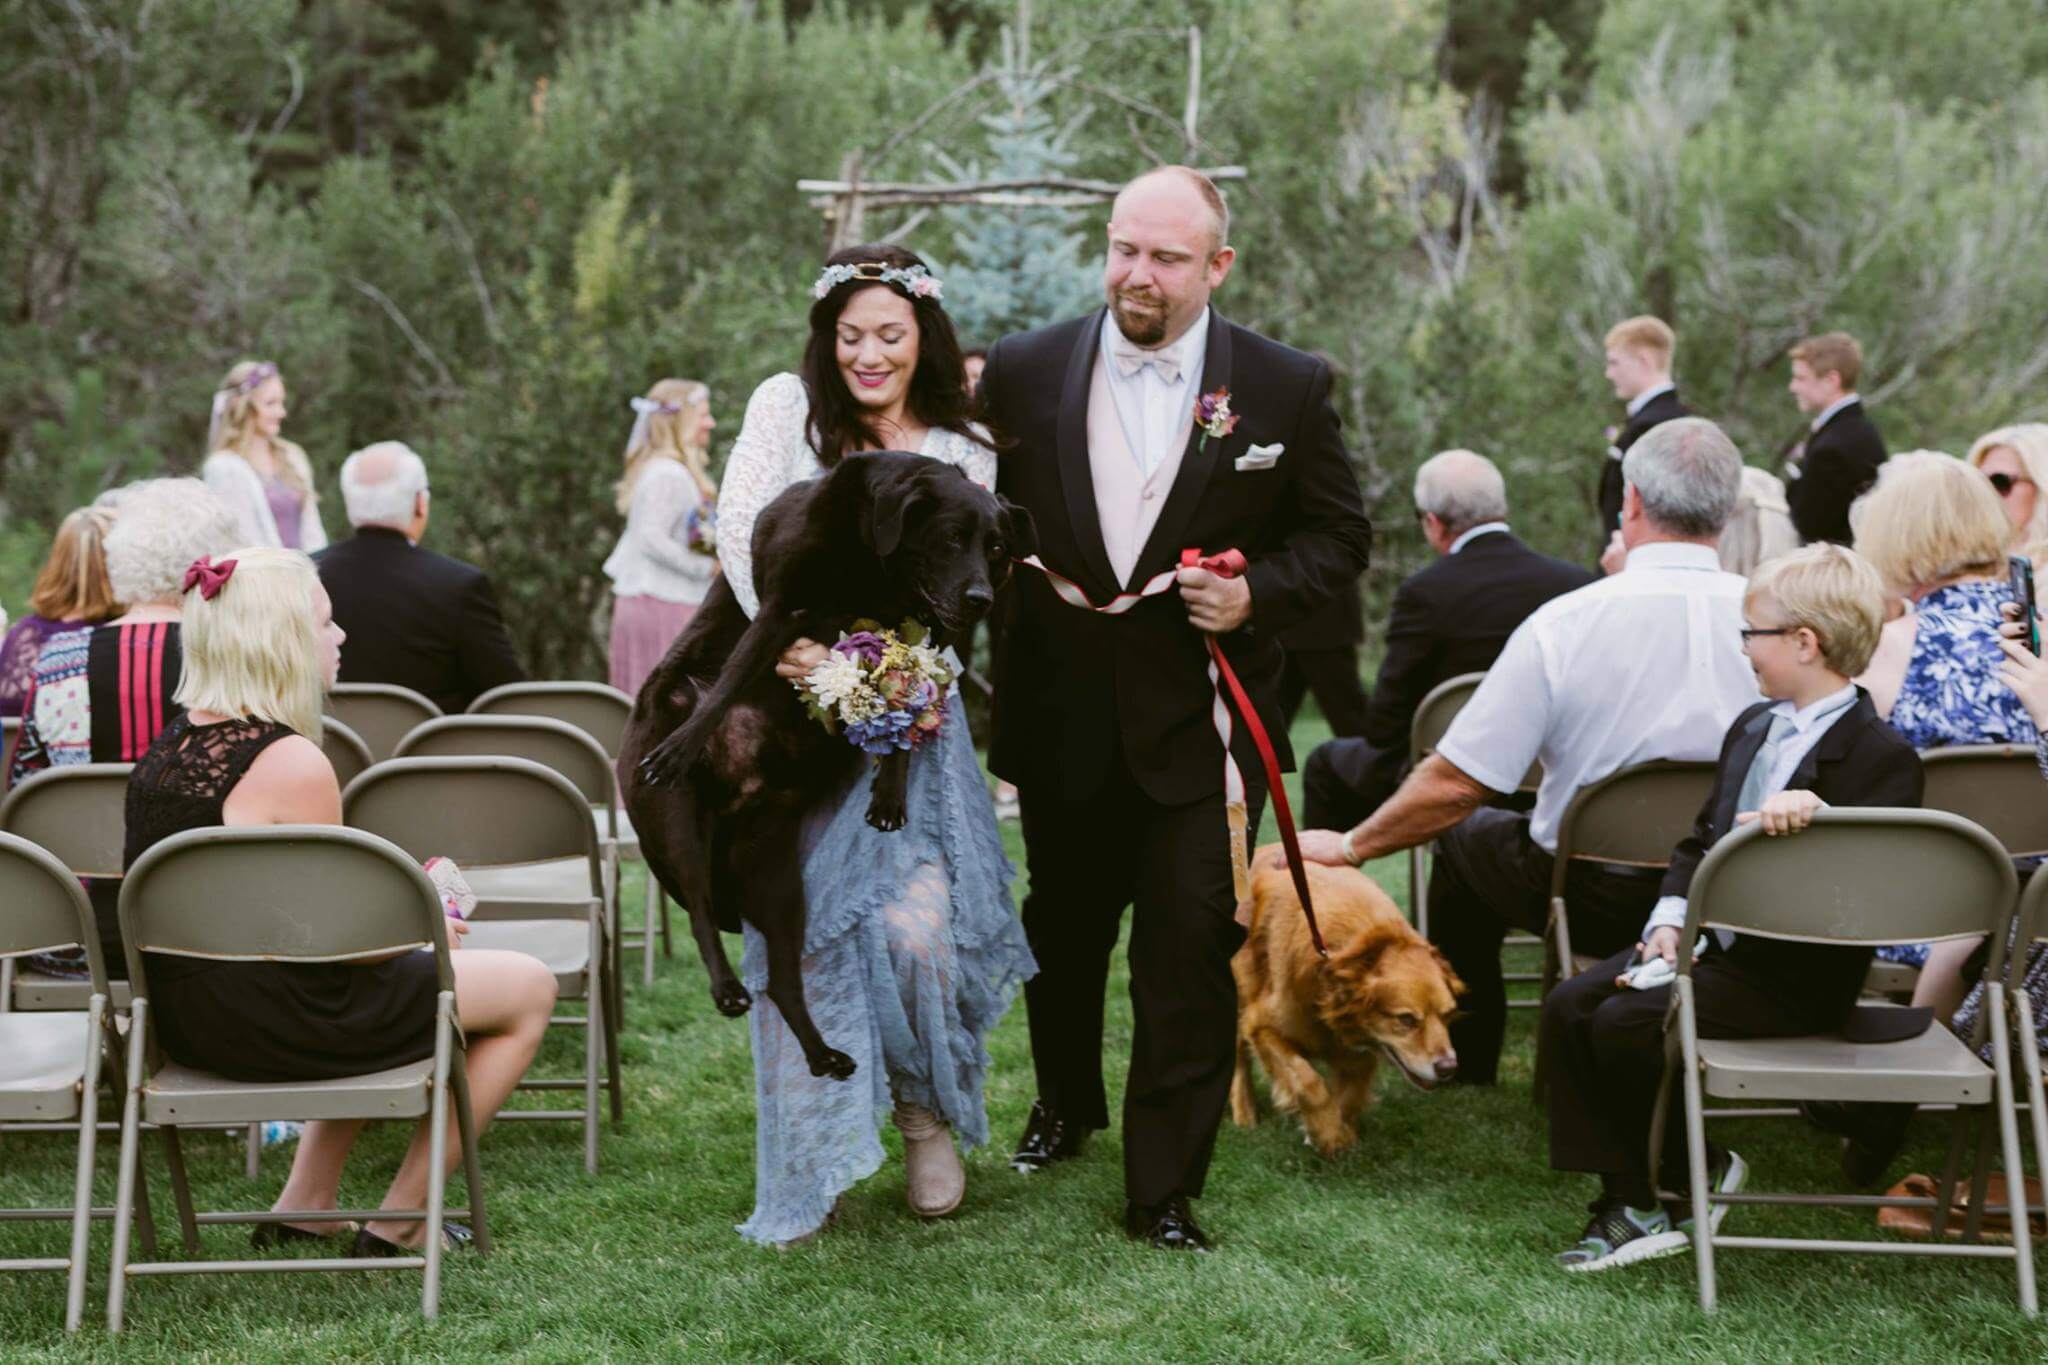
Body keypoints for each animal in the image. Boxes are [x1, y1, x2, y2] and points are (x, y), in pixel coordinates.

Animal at [618, 454, 1040, 1080]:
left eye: (997, 548)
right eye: (951, 538)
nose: (980, 598)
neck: (875, 562)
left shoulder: (919, 638)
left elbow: (901, 720)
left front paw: (889, 797)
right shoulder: (779, 608)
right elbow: (731, 678)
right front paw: (684, 742)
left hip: (778, 883)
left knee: (783, 982)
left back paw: (823, 1055)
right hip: (677, 824)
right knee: (697, 908)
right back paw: (726, 988)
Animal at [1220, 847, 1466, 1162]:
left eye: (1447, 1016)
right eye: (1406, 1019)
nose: (1448, 1068)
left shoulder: (1359, 1052)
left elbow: (1347, 1098)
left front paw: (1339, 1132)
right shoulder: (1261, 1025)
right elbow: (1307, 1081)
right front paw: (1327, 1134)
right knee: (1238, 1057)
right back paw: (1245, 1113)